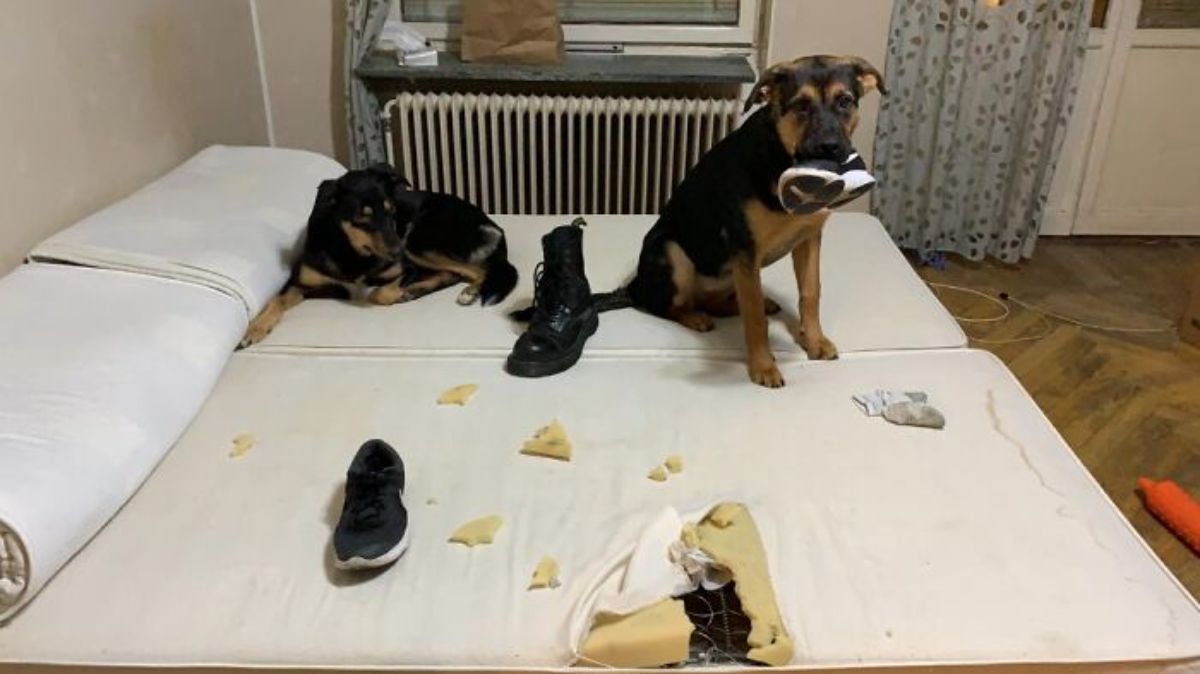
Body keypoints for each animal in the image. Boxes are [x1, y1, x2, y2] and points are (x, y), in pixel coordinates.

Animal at [238, 163, 516, 345]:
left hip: (420, 240)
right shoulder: (300, 283)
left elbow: (379, 294)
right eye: (363, 218)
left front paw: (393, 292)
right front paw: (255, 328)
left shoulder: (406, 268)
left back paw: (467, 291)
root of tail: (492, 224)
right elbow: (276, 300)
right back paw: (420, 290)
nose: (398, 252)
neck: (352, 252)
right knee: (454, 273)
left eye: (391, 211)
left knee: (476, 270)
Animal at [609, 56, 883, 388]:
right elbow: (754, 318)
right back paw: (695, 317)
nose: (830, 147)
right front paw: (764, 366)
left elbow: (810, 292)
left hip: (730, 271)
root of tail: (634, 285)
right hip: (674, 253)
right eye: (801, 106)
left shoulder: (808, 239)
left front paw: (815, 341)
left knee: (715, 300)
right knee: (668, 305)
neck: (782, 160)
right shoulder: (745, 249)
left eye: (845, 101)